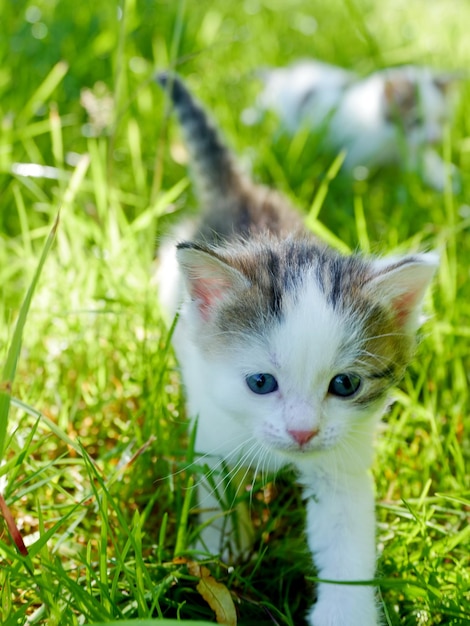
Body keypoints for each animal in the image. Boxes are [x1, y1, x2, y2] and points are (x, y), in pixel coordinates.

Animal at [157, 73, 436, 624]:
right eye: (260, 383)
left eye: (344, 384)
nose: (302, 432)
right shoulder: (212, 424)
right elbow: (217, 488)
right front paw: (221, 550)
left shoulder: (344, 460)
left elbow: (346, 533)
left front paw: (345, 610)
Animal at [244, 59, 460, 189]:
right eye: (416, 121)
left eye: (442, 120)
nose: (434, 139)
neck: (388, 135)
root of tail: (288, 75)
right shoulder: (357, 154)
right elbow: (353, 177)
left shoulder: (409, 149)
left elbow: (425, 162)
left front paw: (446, 179)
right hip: (280, 101)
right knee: (265, 101)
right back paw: (251, 115)